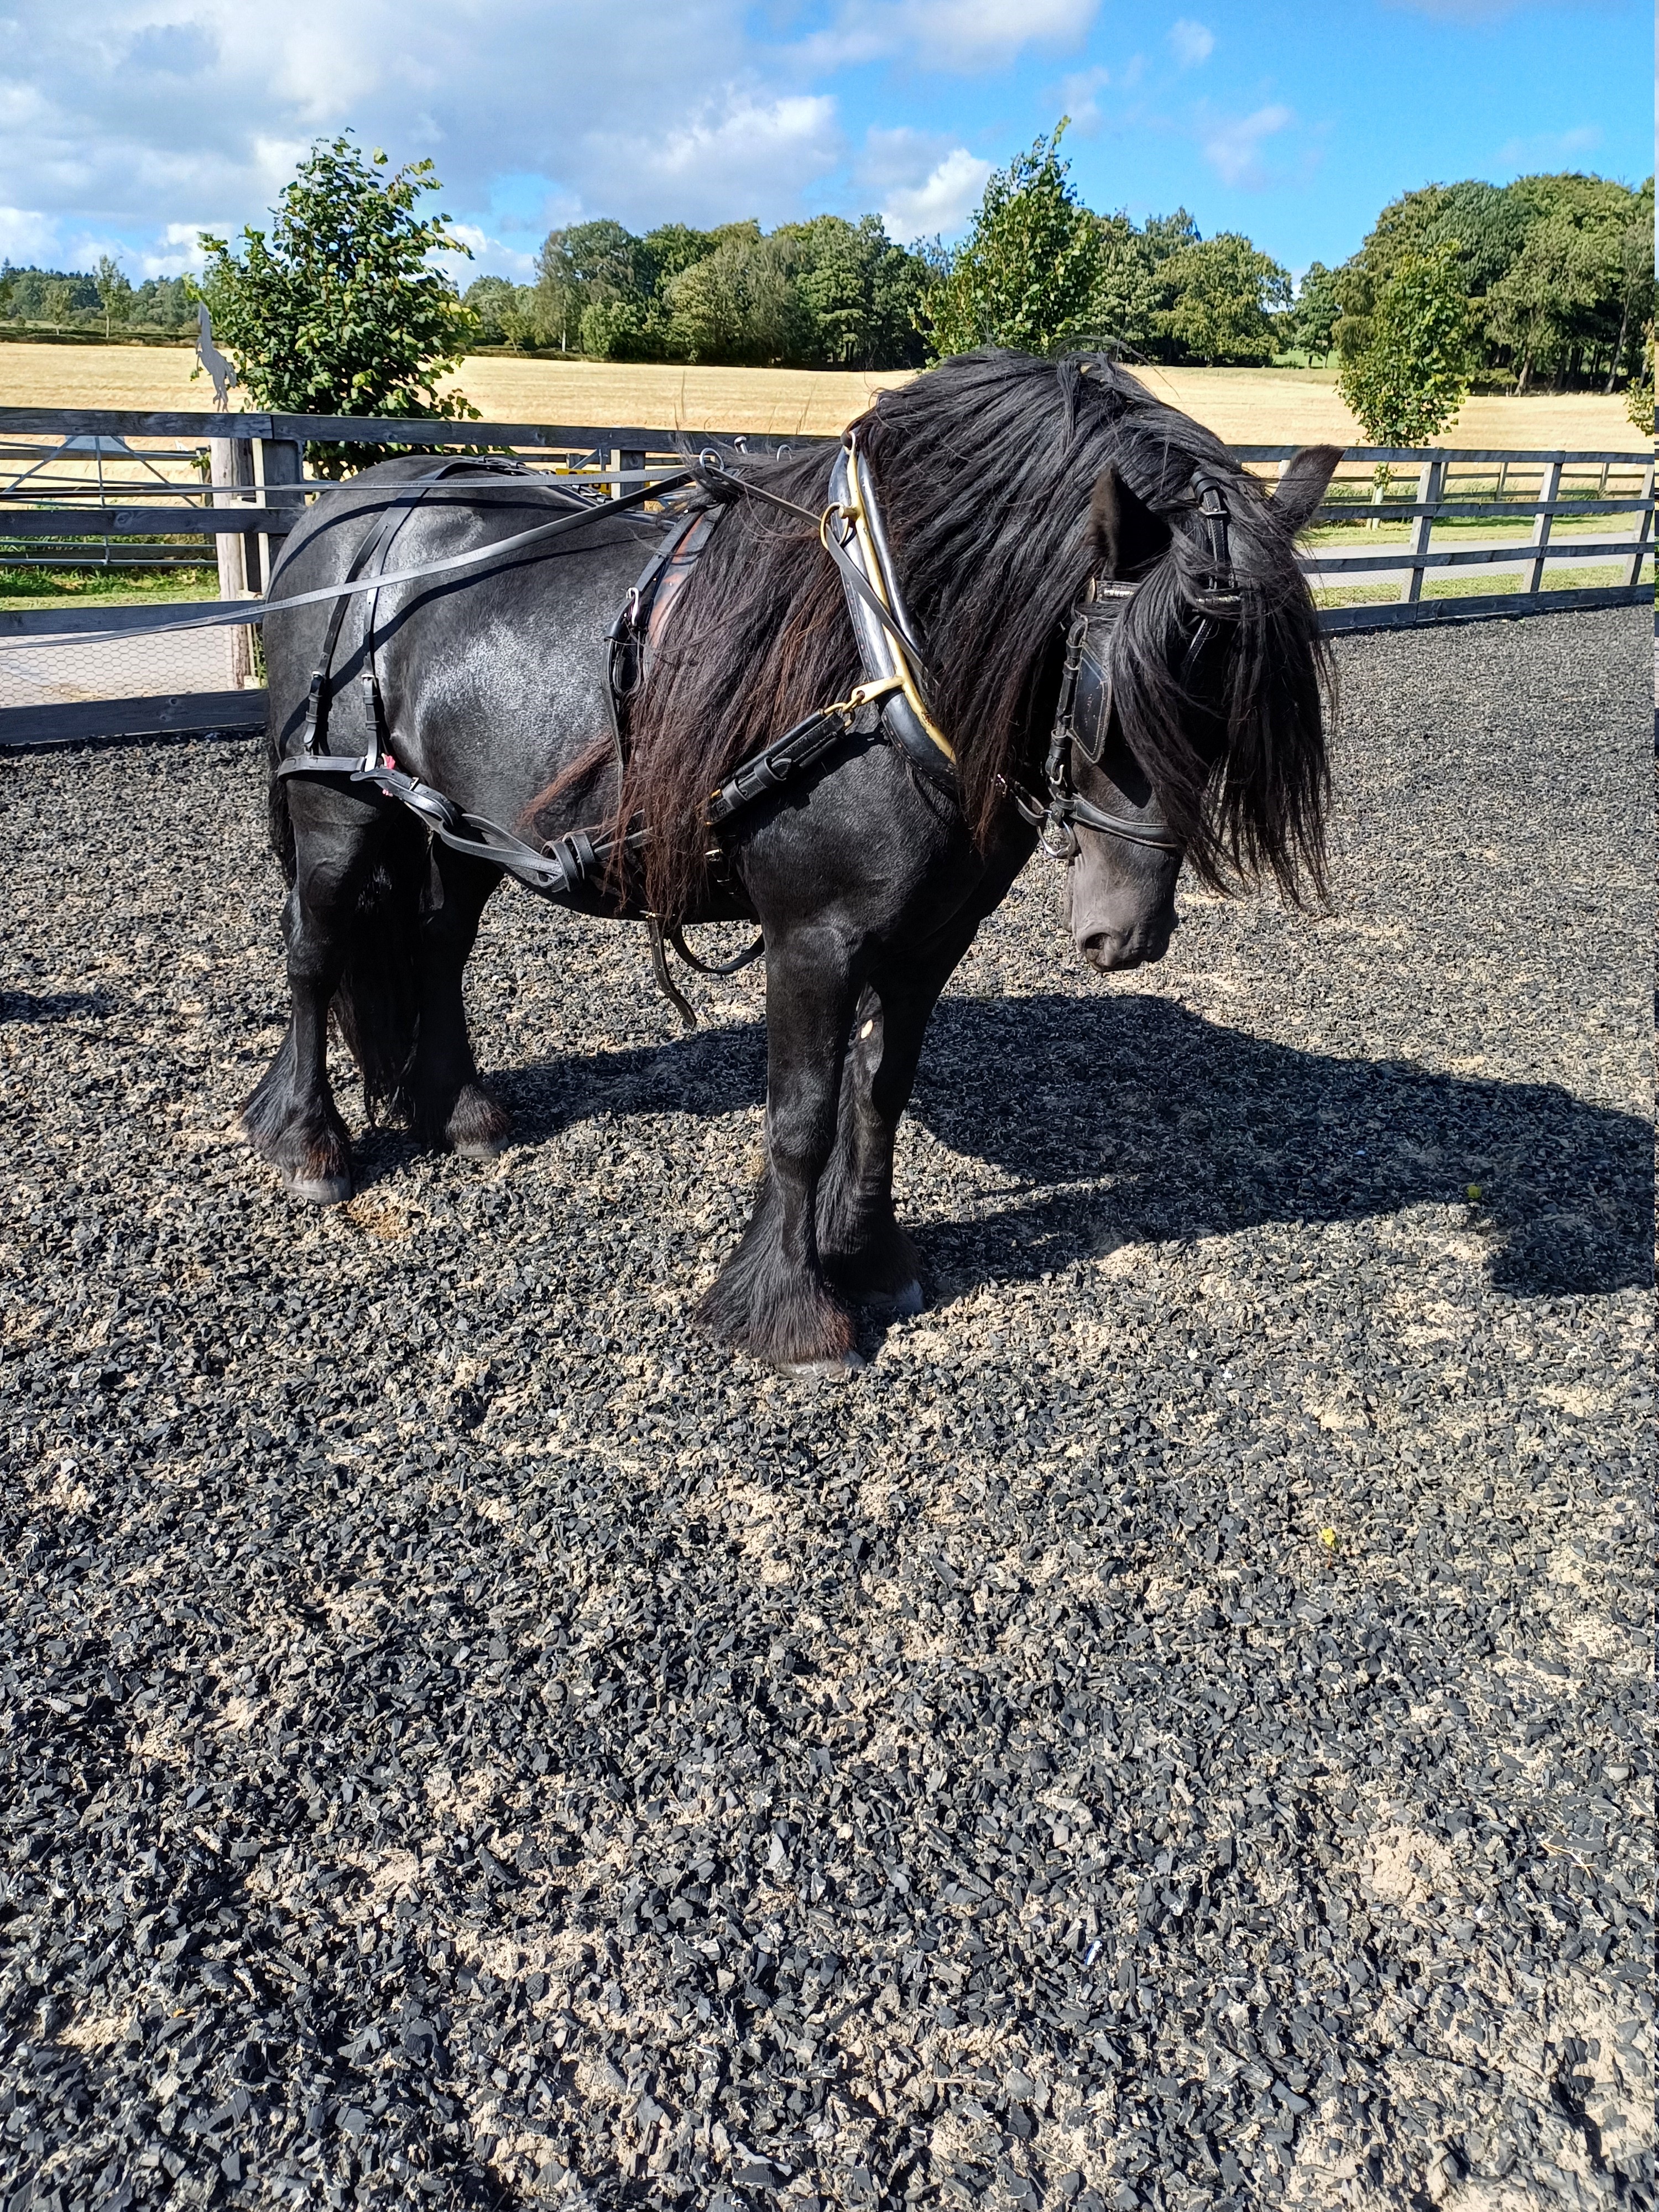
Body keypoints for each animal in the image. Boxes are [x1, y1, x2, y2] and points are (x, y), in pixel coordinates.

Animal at [243, 349, 1336, 1363]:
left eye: (1237, 714)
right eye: (1116, 696)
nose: (1131, 933)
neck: (883, 667)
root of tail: (339, 514)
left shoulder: (930, 939)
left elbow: (881, 1093)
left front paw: (872, 1256)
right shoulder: (812, 937)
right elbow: (803, 1116)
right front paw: (788, 1308)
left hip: (458, 820)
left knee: (436, 946)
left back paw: (460, 1110)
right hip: (339, 805)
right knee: (315, 951)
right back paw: (305, 1140)